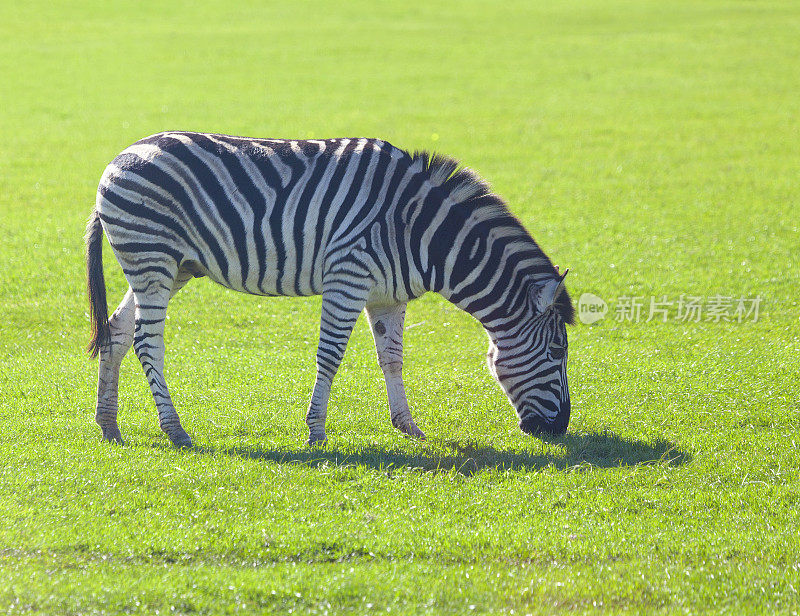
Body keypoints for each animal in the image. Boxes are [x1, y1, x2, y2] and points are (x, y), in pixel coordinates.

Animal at [86, 131, 576, 448]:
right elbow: (331, 356)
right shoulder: (348, 278)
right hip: (152, 259)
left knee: (116, 332)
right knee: (147, 342)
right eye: (558, 352)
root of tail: (117, 157)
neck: (416, 229)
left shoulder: (388, 296)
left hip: (169, 267)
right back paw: (175, 430)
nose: (560, 429)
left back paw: (109, 426)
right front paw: (317, 431)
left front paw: (408, 426)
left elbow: (392, 359)